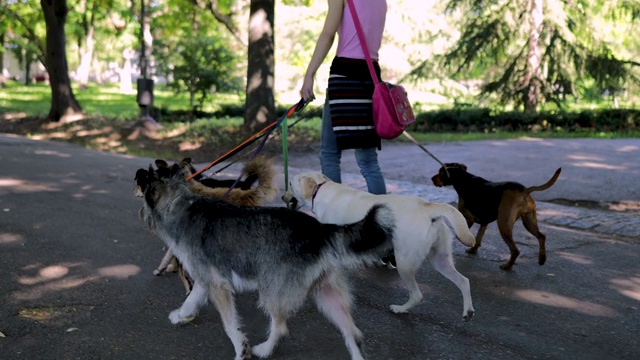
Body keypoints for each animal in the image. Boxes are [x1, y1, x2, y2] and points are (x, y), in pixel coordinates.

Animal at [284, 172, 476, 320]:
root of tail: (429, 207)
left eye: (290, 183)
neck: (319, 189)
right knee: (464, 281)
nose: (282, 197)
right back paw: (468, 311)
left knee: (417, 295)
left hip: (404, 263)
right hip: (440, 260)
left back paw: (400, 309)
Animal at [430, 164, 560, 270]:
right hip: (528, 222)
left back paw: (507, 266)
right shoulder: (484, 222)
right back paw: (542, 258)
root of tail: (524, 191)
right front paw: (473, 249)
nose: (431, 178)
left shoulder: (468, 218)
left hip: (504, 225)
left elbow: (460, 234)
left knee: (516, 250)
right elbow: (478, 238)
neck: (463, 178)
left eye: (440, 172)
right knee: (542, 236)